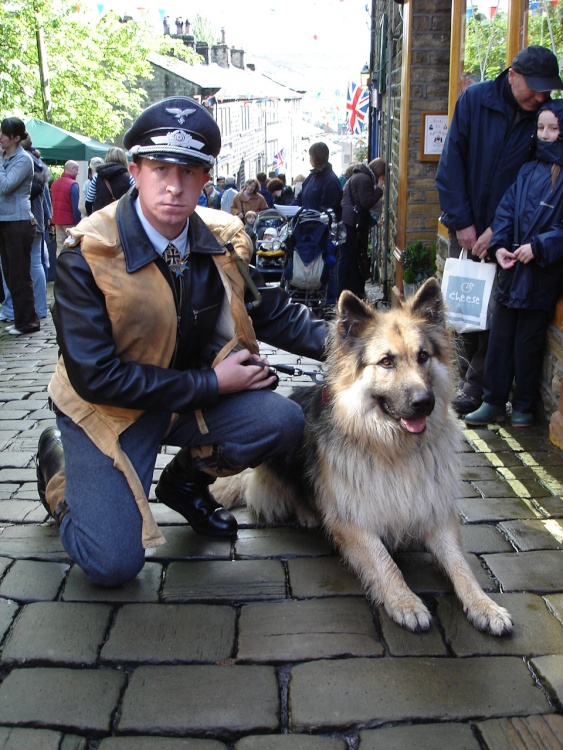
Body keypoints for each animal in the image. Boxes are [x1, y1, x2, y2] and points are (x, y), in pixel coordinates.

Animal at [218, 280, 512, 636]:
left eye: (423, 356)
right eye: (386, 361)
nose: (424, 403)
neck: (392, 446)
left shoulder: (434, 509)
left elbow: (460, 564)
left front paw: (485, 605)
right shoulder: (354, 518)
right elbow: (384, 561)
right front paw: (405, 602)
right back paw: (308, 514)